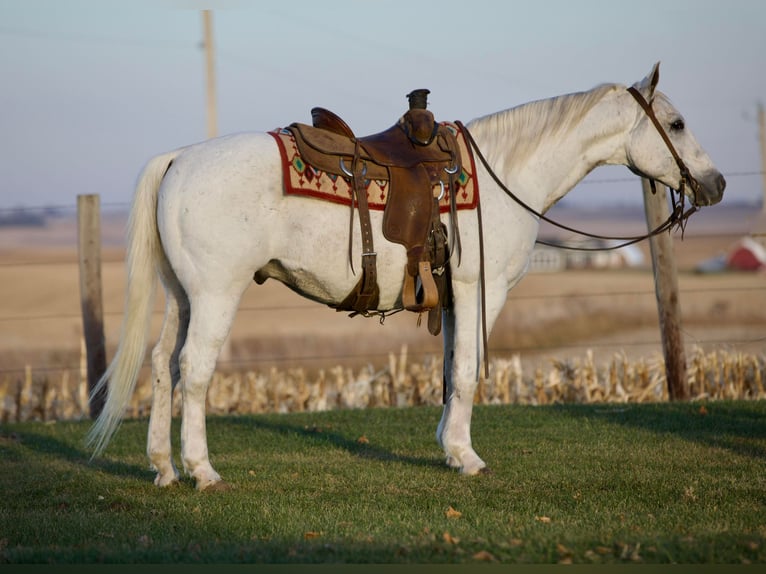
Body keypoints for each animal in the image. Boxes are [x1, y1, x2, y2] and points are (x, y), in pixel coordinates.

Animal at [90, 64, 728, 496]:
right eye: (676, 123)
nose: (716, 184)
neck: (504, 176)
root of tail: (180, 157)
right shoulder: (480, 291)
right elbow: (468, 371)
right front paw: (466, 456)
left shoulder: (450, 298)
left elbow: (449, 371)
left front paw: (448, 448)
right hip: (215, 294)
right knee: (194, 369)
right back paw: (202, 470)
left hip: (182, 296)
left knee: (163, 366)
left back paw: (164, 468)